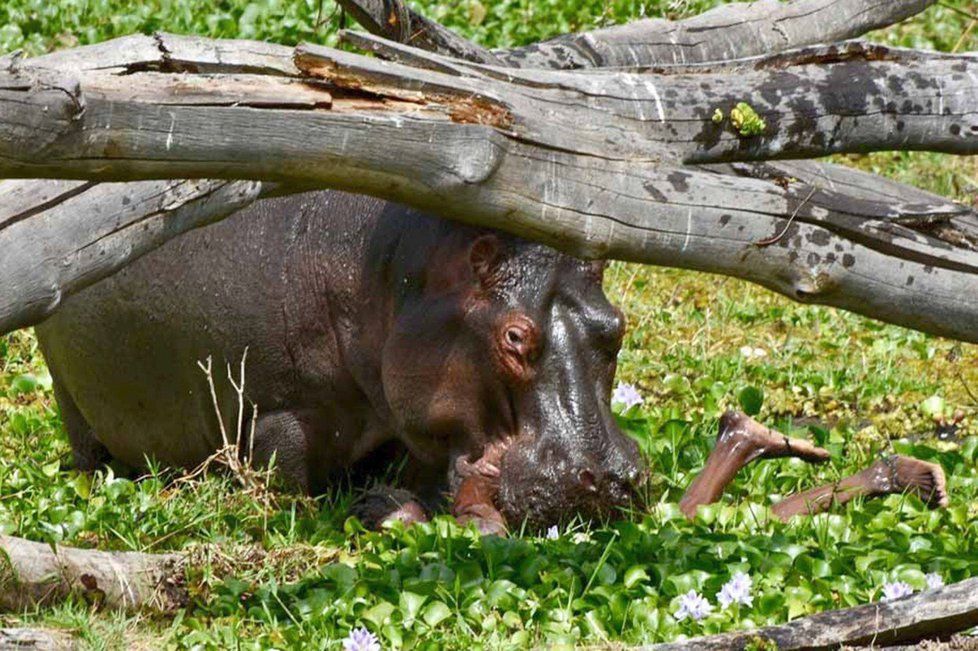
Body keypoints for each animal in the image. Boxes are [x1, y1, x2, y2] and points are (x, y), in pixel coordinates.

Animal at [38, 190, 644, 536]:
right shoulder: (275, 414)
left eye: (616, 325)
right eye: (514, 336)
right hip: (70, 396)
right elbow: (290, 484)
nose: (611, 476)